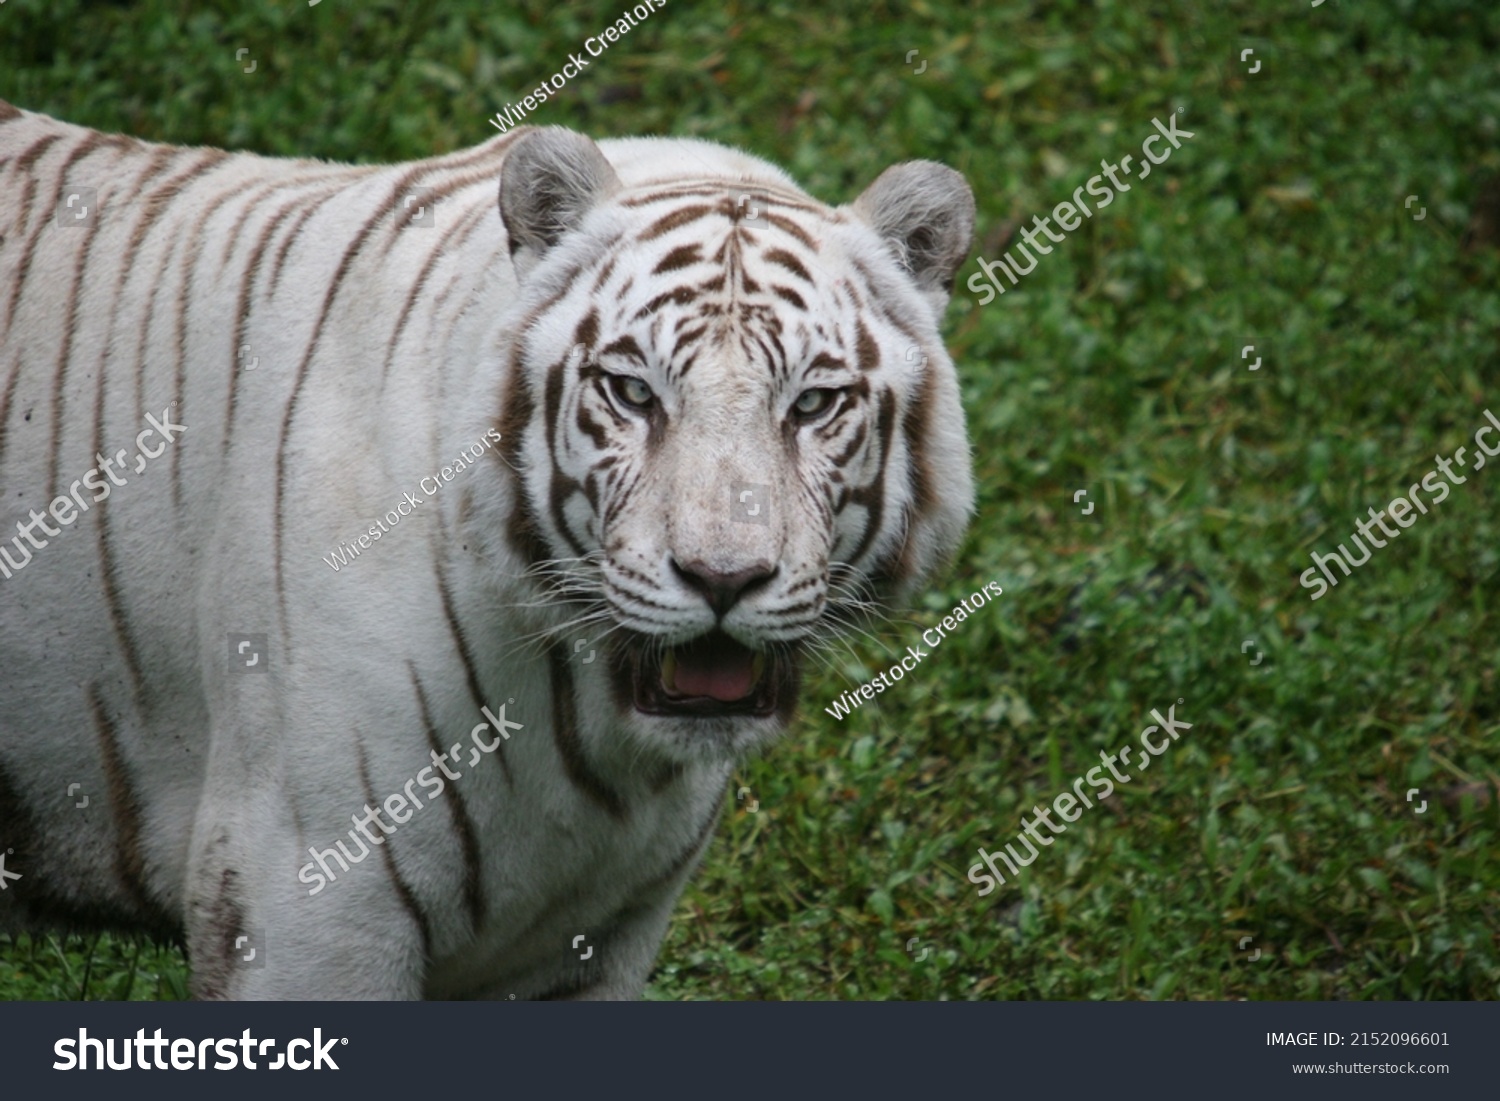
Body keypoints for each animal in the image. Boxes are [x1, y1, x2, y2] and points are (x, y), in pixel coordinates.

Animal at [0, 101, 972, 1002]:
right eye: (632, 393)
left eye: (812, 404)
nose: (722, 577)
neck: (592, 732)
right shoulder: (304, 900)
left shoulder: (589, 942)